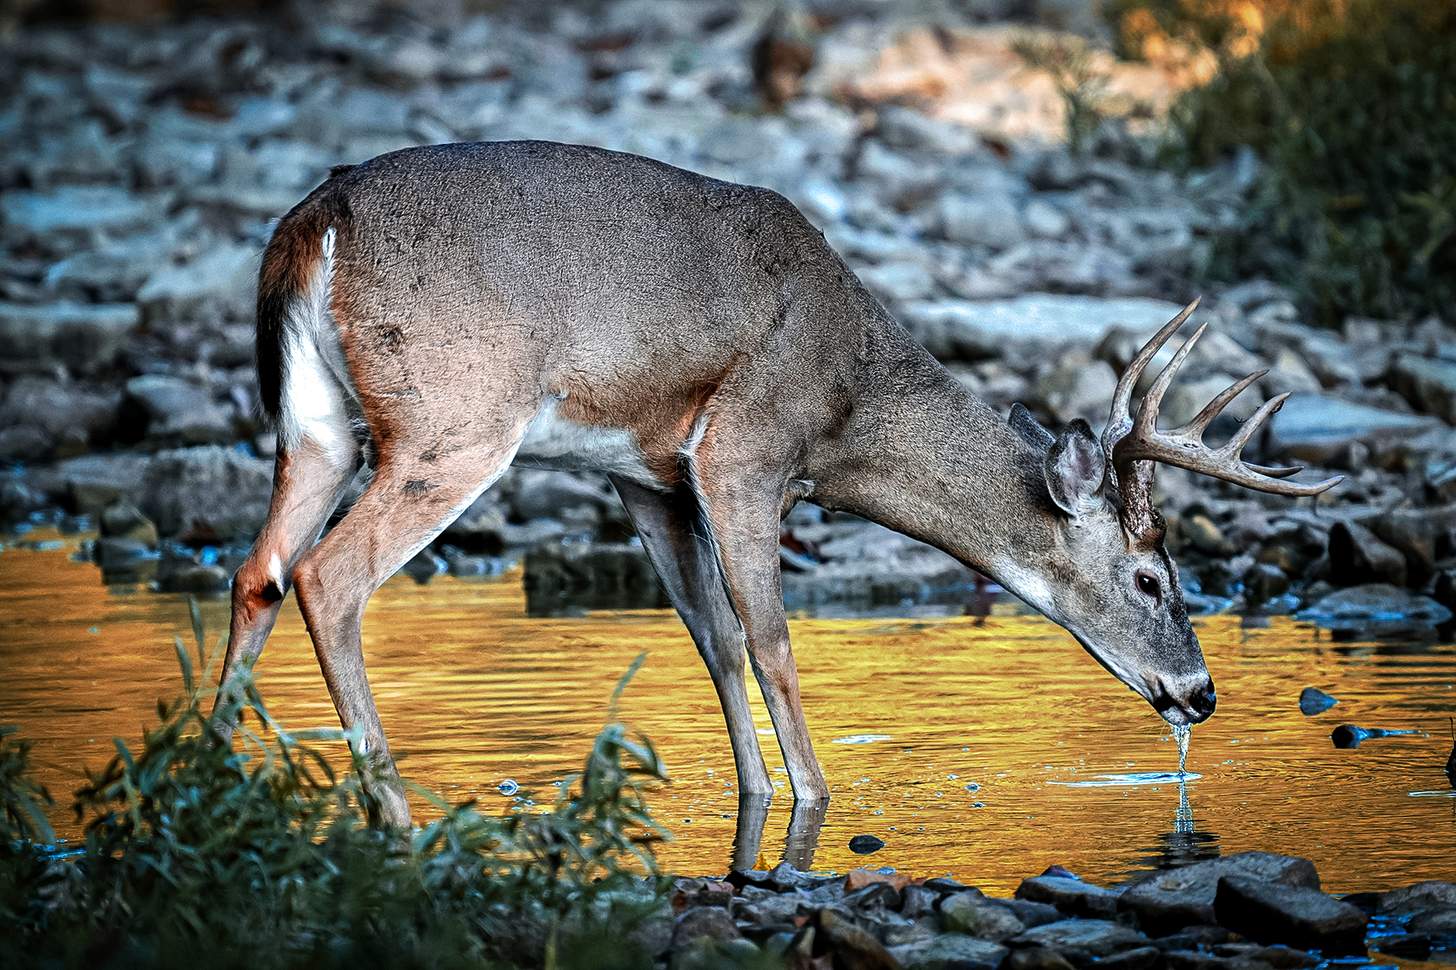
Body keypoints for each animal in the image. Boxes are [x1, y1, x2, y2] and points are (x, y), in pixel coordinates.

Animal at [213, 140, 1340, 829]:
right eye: (1154, 578)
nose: (1200, 695)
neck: (848, 402)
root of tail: (314, 221)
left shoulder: (647, 474)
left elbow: (711, 637)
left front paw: (752, 801)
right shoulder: (743, 451)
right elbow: (773, 641)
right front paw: (816, 801)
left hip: (314, 427)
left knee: (256, 570)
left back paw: (204, 777)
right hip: (456, 419)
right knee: (329, 575)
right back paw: (394, 814)